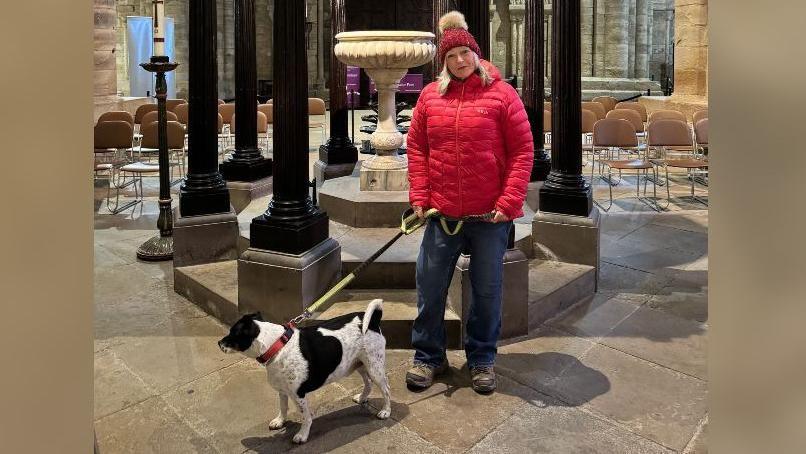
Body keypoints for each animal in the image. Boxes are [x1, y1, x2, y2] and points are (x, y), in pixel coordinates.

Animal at [216, 298, 390, 444]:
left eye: (232, 334)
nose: (218, 343)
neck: (277, 345)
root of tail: (371, 320)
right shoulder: (283, 391)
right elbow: (283, 407)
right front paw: (280, 421)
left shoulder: (298, 395)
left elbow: (306, 417)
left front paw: (302, 435)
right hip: (360, 365)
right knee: (368, 383)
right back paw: (362, 398)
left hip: (374, 368)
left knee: (386, 390)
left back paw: (385, 411)